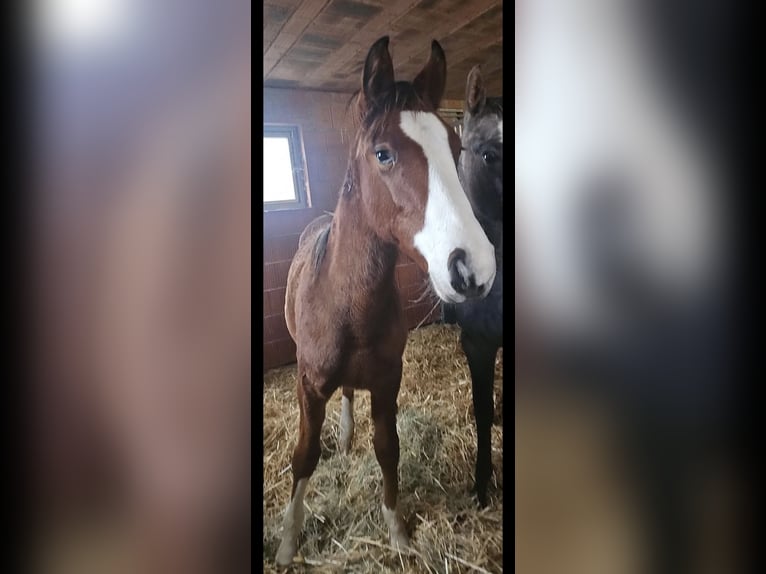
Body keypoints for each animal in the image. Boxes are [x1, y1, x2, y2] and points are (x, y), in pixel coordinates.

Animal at [275, 36, 497, 566]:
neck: (348, 308)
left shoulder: (386, 381)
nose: (474, 267)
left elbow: (387, 447)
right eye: (383, 153)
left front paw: (396, 531)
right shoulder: (308, 385)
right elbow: (304, 457)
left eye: (456, 147)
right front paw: (288, 544)